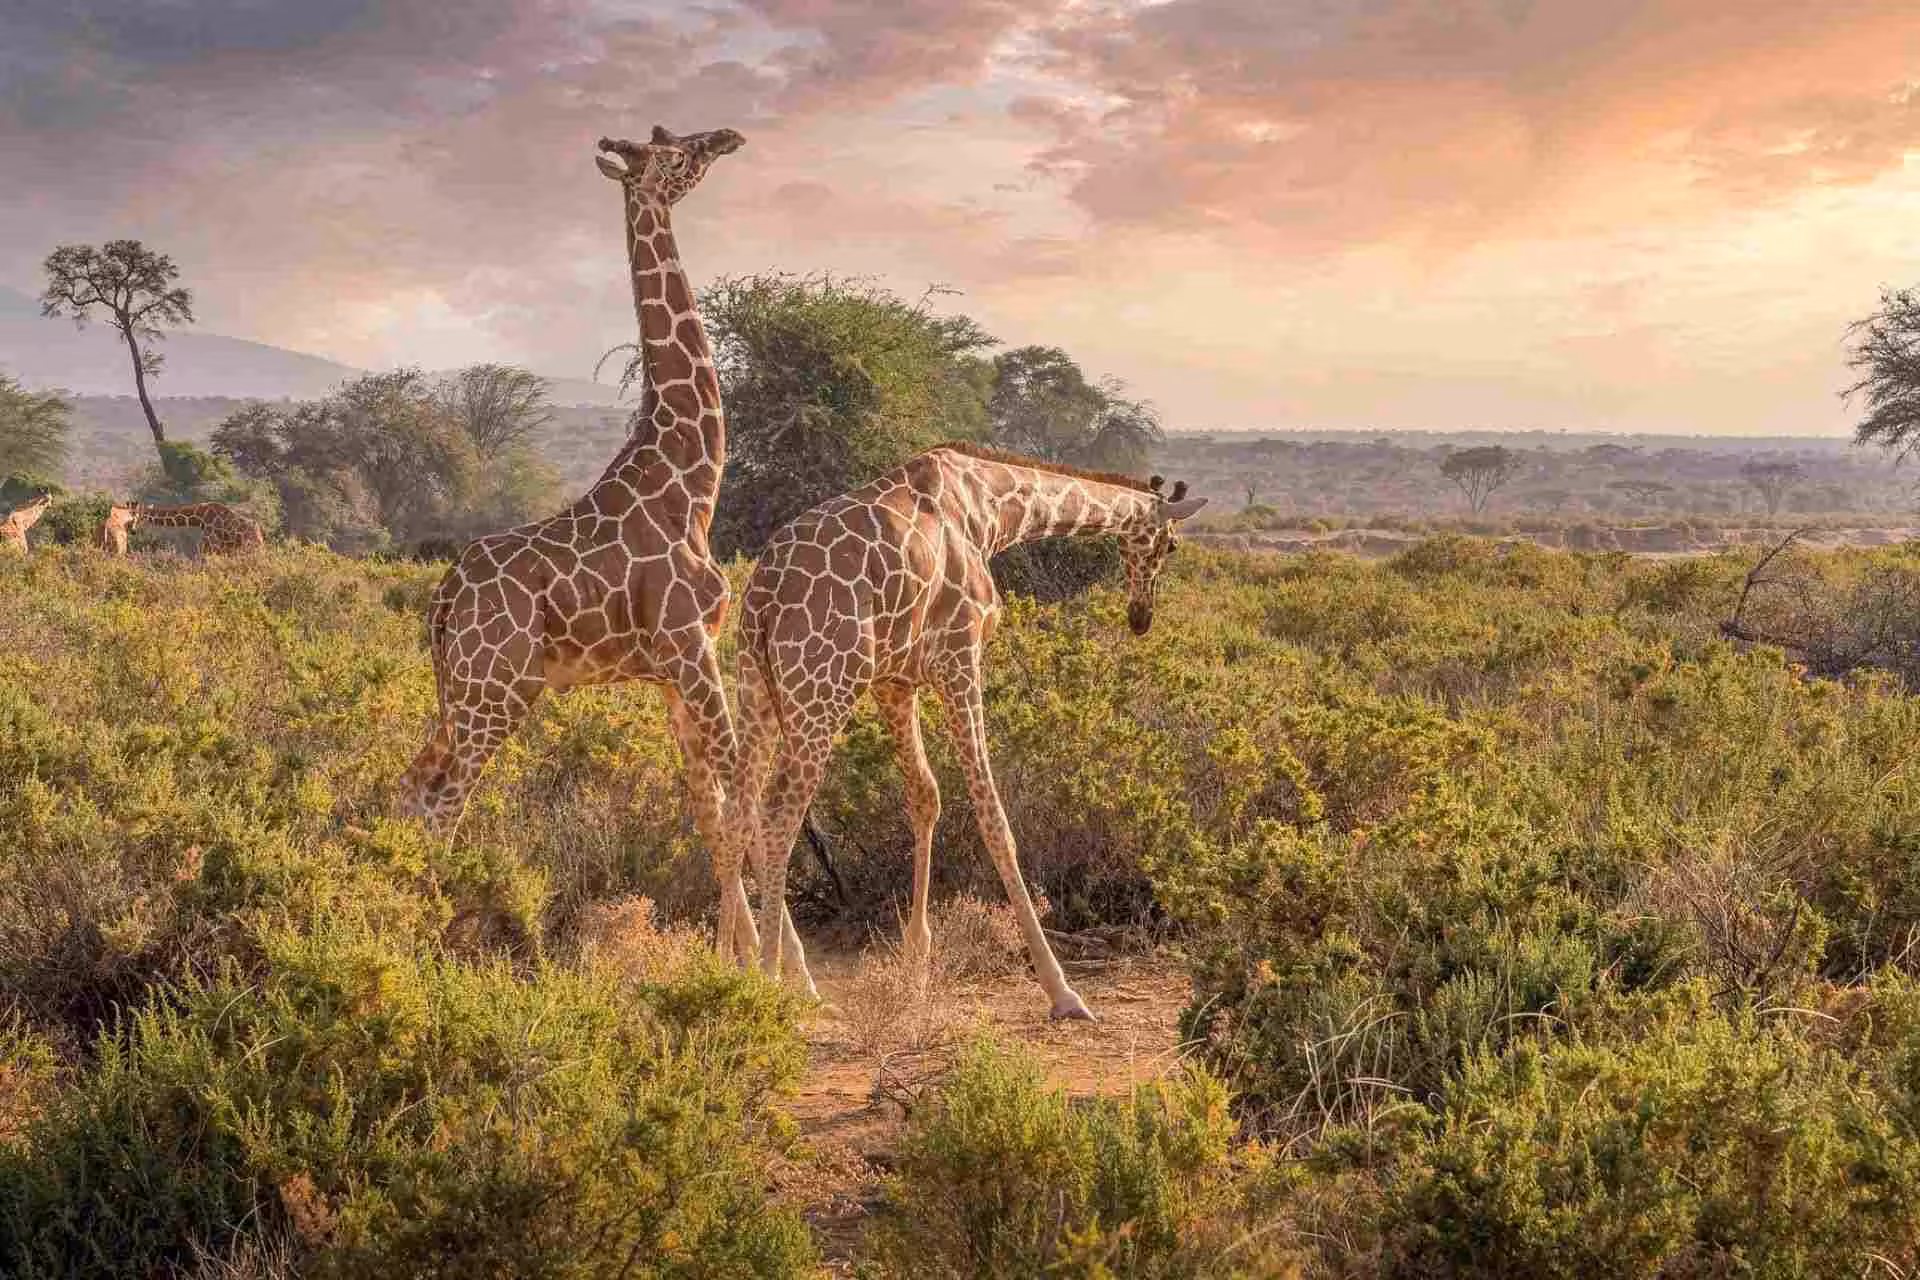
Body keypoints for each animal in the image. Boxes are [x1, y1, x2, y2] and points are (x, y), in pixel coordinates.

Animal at [99, 501, 265, 556]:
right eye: (130, 514)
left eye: (139, 516)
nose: (133, 531)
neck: (201, 518)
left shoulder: (210, 544)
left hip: (251, 548)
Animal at [395, 127, 808, 975]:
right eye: (679, 153)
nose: (728, 137)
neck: (691, 484)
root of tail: (443, 600)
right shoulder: (691, 652)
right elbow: (743, 799)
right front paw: (785, 976)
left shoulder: (671, 674)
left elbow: (710, 808)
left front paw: (736, 959)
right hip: (497, 694)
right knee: (445, 800)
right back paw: (426, 946)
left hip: (461, 693)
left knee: (413, 786)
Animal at [727, 443, 1207, 1019]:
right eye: (1171, 545)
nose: (1141, 617)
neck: (990, 510)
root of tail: (763, 594)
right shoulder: (960, 657)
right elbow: (993, 816)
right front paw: (1061, 990)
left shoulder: (895, 680)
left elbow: (925, 795)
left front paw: (916, 964)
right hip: (822, 688)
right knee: (779, 812)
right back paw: (774, 981)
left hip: (756, 686)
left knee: (738, 808)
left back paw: (727, 967)